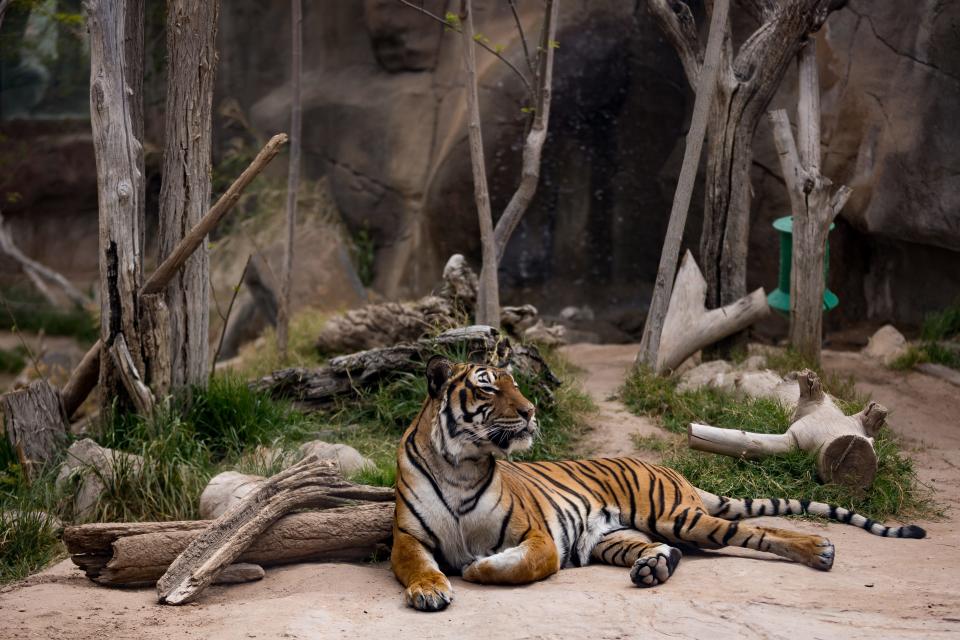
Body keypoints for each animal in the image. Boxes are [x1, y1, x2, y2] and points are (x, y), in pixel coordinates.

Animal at [394, 358, 928, 612]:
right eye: (488, 387)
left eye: (517, 385)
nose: (530, 412)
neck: (462, 464)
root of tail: (675, 472)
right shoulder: (408, 538)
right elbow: (418, 566)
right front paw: (430, 591)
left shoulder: (537, 536)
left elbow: (524, 564)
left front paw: (478, 566)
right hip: (613, 535)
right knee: (664, 549)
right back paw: (653, 568)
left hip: (678, 515)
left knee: (757, 532)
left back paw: (820, 549)